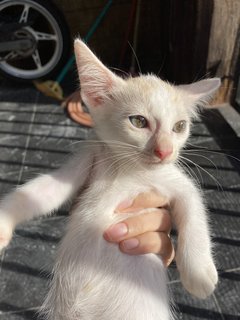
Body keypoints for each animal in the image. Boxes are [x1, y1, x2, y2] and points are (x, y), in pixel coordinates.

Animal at [0, 40, 220, 320]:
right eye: (138, 121)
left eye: (180, 126)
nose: (165, 151)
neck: (124, 168)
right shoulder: (86, 160)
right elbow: (40, 192)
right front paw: (2, 224)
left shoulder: (175, 182)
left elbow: (194, 205)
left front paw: (199, 275)